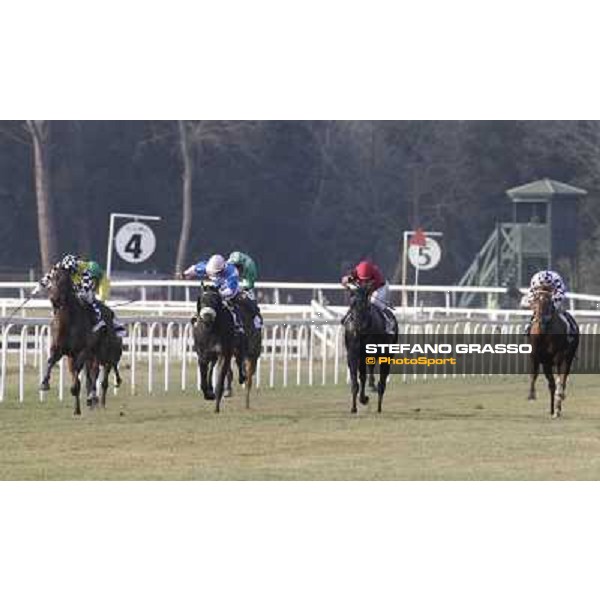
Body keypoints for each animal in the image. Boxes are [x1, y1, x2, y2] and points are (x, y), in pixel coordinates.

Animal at [195, 284, 237, 412]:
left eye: (215, 301)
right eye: (202, 300)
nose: (207, 316)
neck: (210, 331)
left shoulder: (223, 353)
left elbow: (220, 380)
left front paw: (216, 406)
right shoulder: (202, 355)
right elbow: (203, 380)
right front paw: (208, 394)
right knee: (210, 369)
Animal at [342, 284, 398, 412]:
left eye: (365, 305)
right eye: (352, 304)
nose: (357, 326)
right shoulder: (353, 354)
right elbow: (356, 381)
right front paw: (355, 406)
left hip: (387, 354)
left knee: (382, 380)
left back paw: (378, 404)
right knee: (364, 376)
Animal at [528, 288, 576, 420]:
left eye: (549, 302)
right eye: (535, 300)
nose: (541, 320)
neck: (544, 333)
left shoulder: (559, 356)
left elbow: (560, 379)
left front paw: (559, 399)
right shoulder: (538, 357)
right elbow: (534, 375)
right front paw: (531, 394)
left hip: (568, 358)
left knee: (562, 379)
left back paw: (559, 403)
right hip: (547, 364)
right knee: (552, 385)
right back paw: (553, 409)